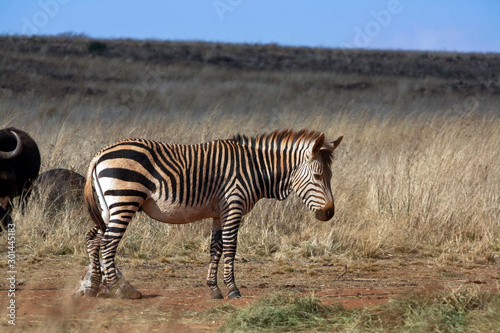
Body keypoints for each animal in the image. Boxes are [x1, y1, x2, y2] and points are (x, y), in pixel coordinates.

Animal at [85, 129, 344, 298]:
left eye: (330, 176)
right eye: (318, 176)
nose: (329, 212)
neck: (255, 169)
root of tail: (100, 153)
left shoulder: (219, 213)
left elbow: (215, 248)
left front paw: (214, 288)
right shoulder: (233, 205)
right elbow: (230, 247)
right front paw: (233, 289)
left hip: (109, 206)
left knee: (93, 239)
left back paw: (94, 287)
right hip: (125, 199)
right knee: (108, 243)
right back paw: (120, 289)